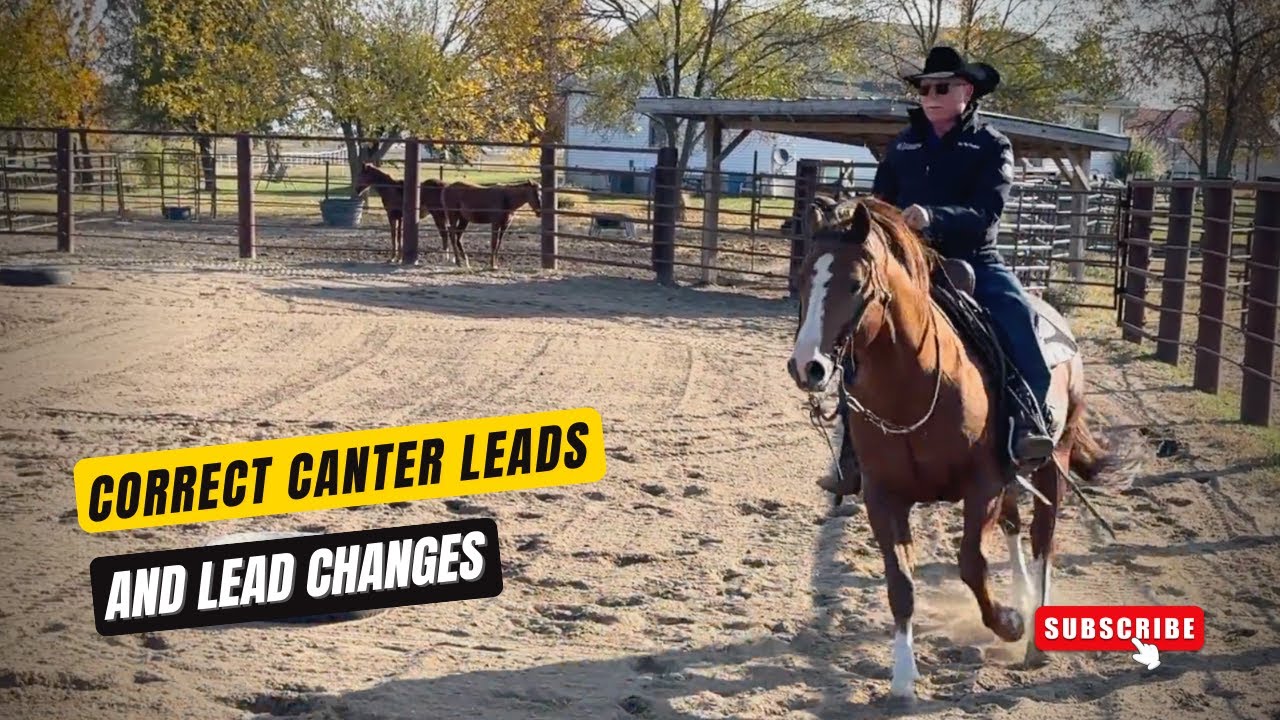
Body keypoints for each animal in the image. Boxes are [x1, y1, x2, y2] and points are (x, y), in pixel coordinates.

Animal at [786, 196, 1116, 699]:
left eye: (855, 283)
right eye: (804, 276)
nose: (808, 366)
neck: (913, 386)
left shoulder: (982, 486)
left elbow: (971, 565)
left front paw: (1010, 623)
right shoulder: (884, 496)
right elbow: (900, 583)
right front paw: (903, 676)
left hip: (1051, 461)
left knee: (1043, 538)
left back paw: (1035, 633)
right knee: (1015, 526)